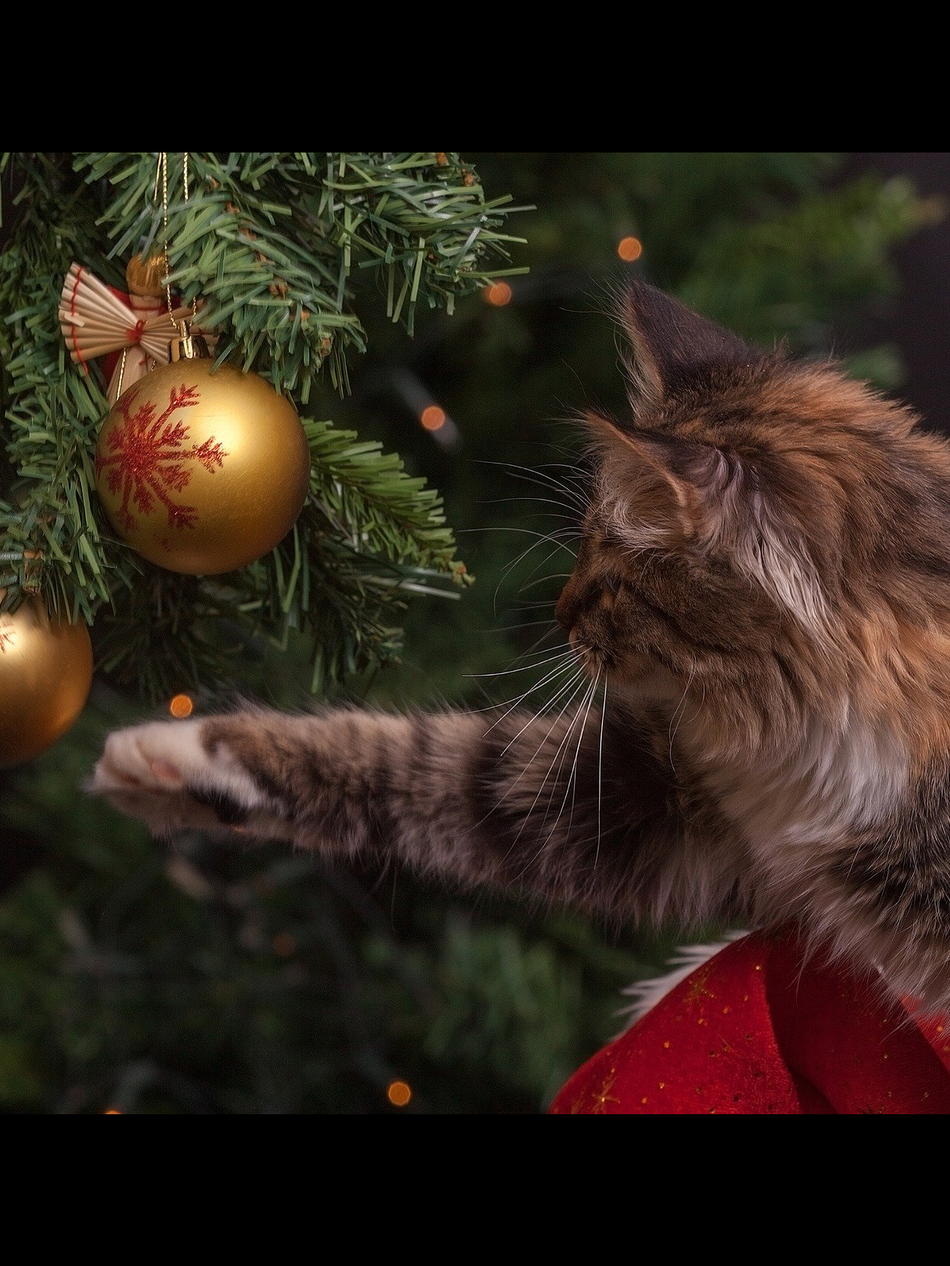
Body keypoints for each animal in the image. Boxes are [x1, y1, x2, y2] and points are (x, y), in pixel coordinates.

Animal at [90, 278, 950, 1023]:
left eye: (613, 579)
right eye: (582, 545)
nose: (561, 617)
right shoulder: (655, 802)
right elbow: (412, 759)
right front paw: (168, 758)